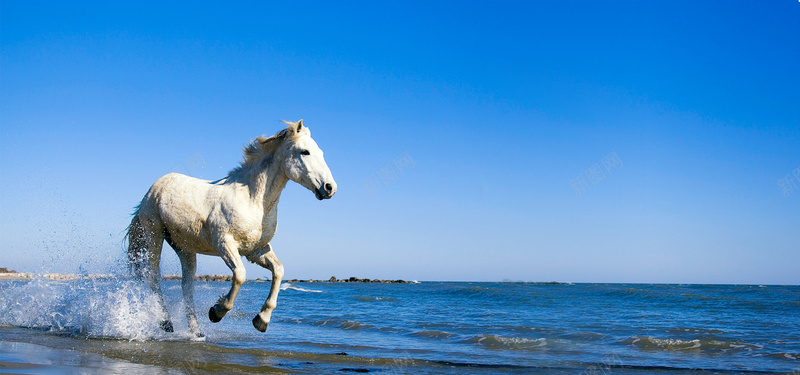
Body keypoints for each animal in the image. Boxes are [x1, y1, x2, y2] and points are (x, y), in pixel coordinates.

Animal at [127, 119, 338, 334]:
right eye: (305, 152)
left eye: (320, 152)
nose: (330, 188)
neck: (252, 199)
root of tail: (155, 187)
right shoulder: (225, 244)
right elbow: (240, 275)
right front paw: (216, 312)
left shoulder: (256, 250)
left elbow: (279, 271)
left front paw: (262, 320)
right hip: (153, 235)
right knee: (153, 278)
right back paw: (166, 322)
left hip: (185, 248)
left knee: (186, 286)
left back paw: (196, 331)